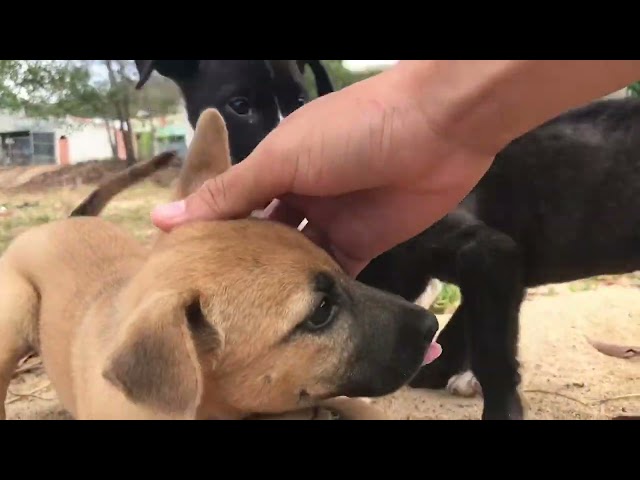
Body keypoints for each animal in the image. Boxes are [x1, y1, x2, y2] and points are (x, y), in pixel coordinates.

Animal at [358, 96, 640, 420]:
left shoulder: (488, 254)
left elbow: (490, 351)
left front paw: (500, 410)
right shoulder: (499, 271)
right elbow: (463, 324)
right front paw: (435, 371)